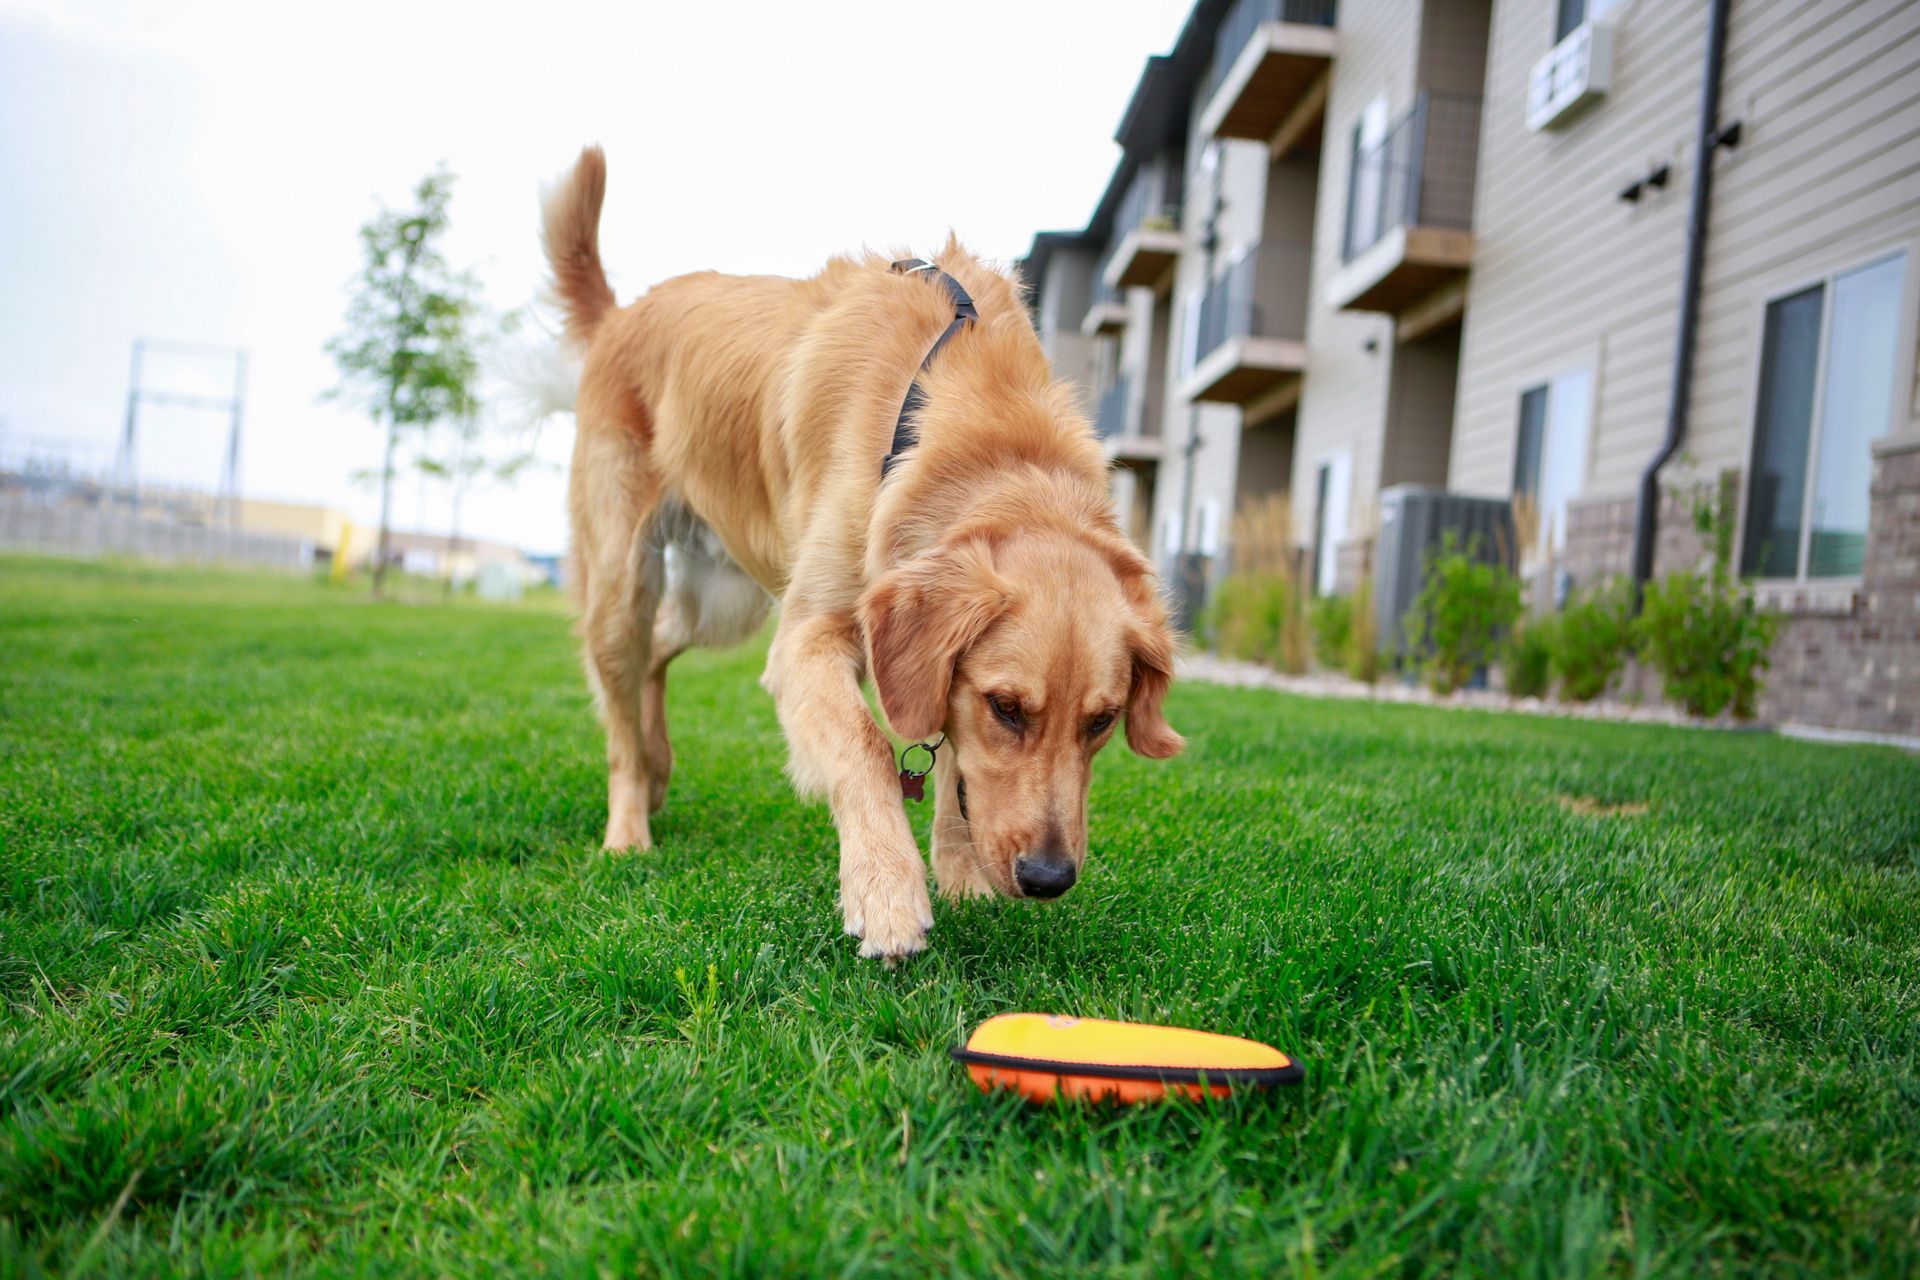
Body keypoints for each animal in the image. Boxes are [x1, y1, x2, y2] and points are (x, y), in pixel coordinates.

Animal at [541, 144, 1182, 955]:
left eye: (1103, 721)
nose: (1048, 878)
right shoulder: (808, 639)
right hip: (627, 582)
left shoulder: (926, 661)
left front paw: (960, 877)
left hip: (725, 599)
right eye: (1007, 708)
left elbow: (952, 765)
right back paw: (629, 828)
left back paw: (660, 770)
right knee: (619, 712)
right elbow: (869, 746)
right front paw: (887, 892)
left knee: (656, 654)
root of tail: (623, 313)